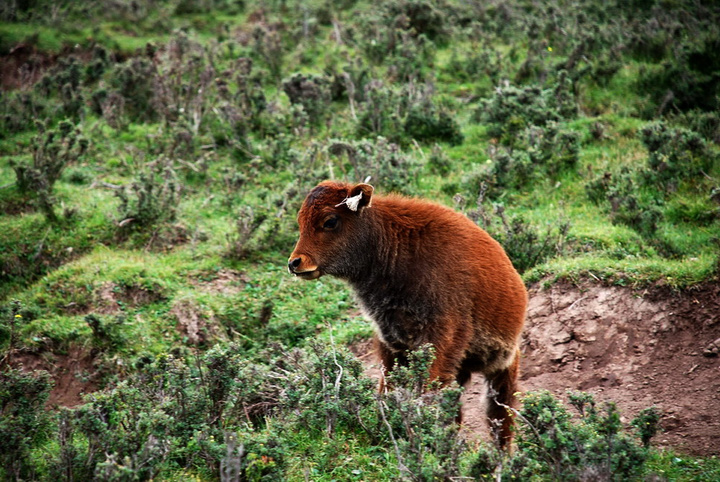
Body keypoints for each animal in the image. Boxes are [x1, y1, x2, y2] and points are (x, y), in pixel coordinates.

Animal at [286, 181, 528, 448]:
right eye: (300, 221)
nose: (295, 263)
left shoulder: (441, 339)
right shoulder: (391, 343)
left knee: (500, 416)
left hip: (503, 365)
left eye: (330, 221)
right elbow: (387, 388)